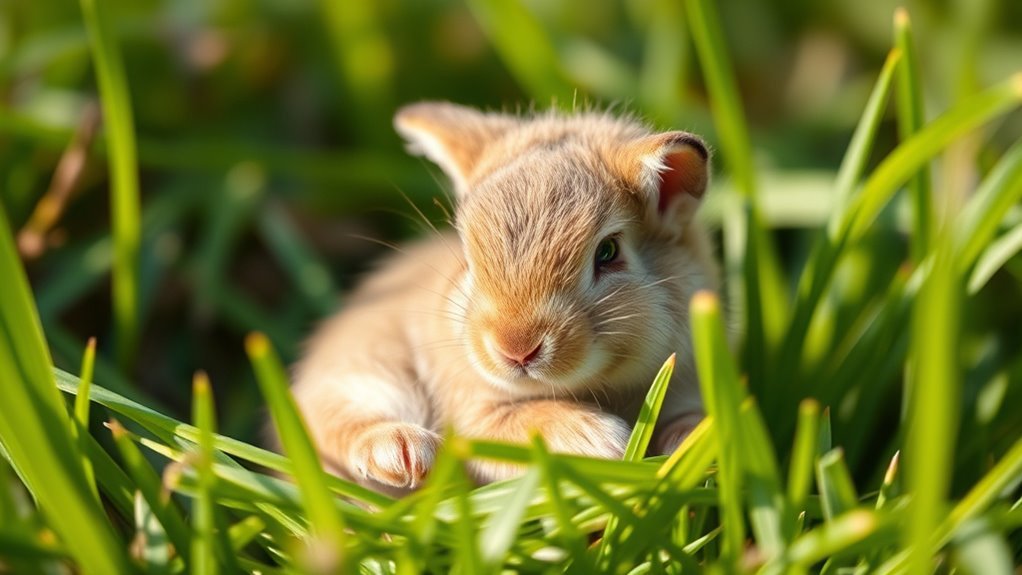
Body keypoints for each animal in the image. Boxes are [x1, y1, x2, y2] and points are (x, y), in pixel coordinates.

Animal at [289, 102, 720, 495]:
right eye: (469, 260)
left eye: (608, 252)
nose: (516, 348)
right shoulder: (473, 409)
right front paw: (600, 442)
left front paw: (688, 444)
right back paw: (403, 454)